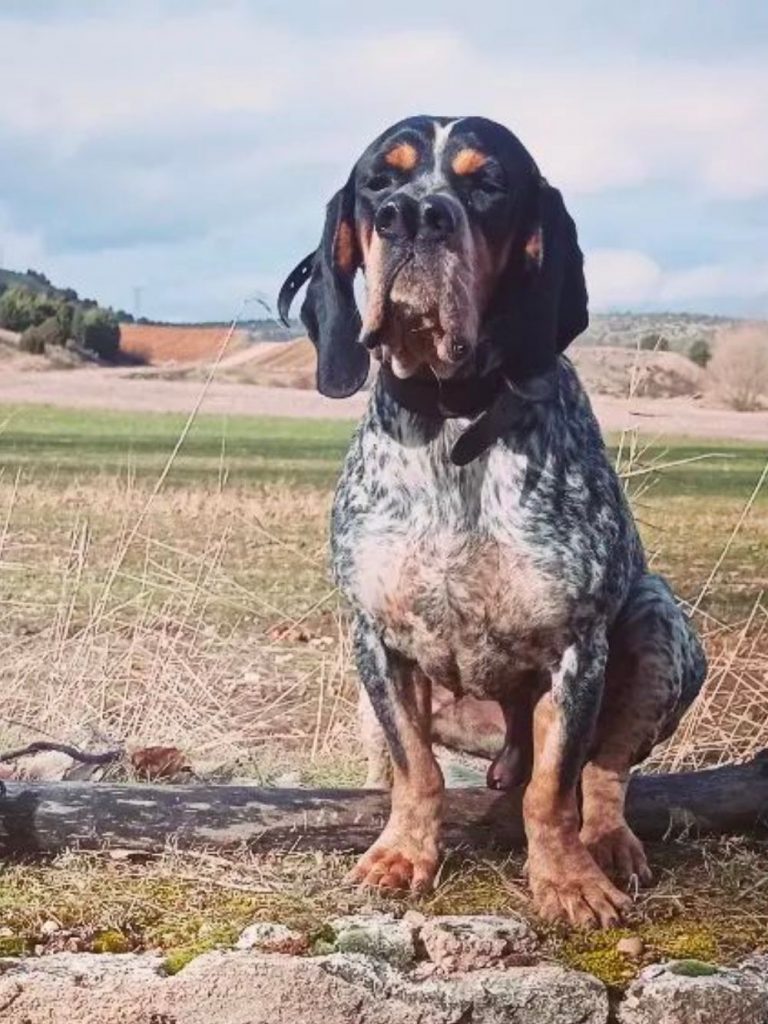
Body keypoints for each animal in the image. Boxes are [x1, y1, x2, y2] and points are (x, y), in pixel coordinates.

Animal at [280, 114, 708, 929]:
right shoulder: (377, 641)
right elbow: (417, 770)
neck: (455, 419)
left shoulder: (576, 648)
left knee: (604, 774)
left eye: (488, 185)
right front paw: (401, 855)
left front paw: (568, 882)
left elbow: (555, 790)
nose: (415, 216)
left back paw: (609, 845)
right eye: (379, 182)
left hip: (659, 622)